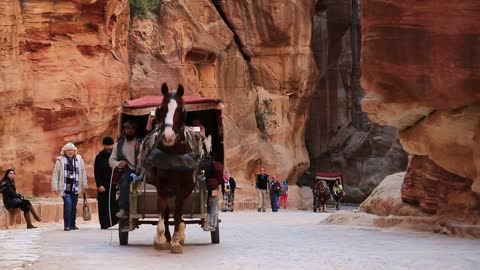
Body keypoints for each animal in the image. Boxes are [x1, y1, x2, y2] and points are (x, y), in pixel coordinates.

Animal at [142, 82, 195, 253]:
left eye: (181, 110)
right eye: (162, 108)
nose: (168, 136)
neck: (174, 155)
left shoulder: (186, 187)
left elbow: (178, 211)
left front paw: (176, 241)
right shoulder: (161, 184)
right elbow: (162, 208)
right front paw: (161, 239)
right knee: (165, 211)